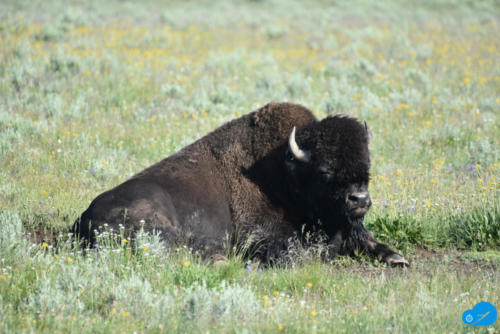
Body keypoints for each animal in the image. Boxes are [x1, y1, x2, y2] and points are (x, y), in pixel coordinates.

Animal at [72, 102, 408, 266]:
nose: (360, 200)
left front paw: (396, 257)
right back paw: (222, 261)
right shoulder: (263, 236)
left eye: (367, 168)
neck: (285, 173)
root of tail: (83, 219)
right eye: (325, 171)